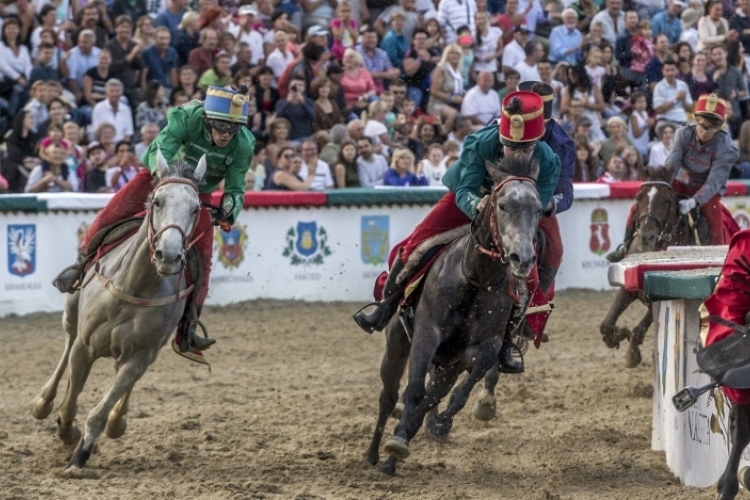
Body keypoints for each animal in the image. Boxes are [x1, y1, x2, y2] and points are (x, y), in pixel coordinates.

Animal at [32, 150, 207, 474]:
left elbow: (102, 408)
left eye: (195, 208)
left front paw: (80, 455)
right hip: (72, 313)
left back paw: (117, 421)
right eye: (157, 201)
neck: (134, 286)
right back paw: (44, 402)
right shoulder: (85, 347)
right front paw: (66, 429)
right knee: (67, 343)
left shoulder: (138, 356)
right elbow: (71, 398)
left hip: (149, 350)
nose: (169, 255)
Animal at [362, 154, 540, 474]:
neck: (475, 280)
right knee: (389, 396)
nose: (523, 259)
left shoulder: (485, 349)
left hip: (448, 365)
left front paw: (435, 425)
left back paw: (396, 451)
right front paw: (396, 442)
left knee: (431, 397)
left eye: (539, 208)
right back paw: (374, 453)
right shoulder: (426, 333)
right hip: (397, 342)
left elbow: (457, 394)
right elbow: (414, 391)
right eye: (502, 205)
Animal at [600, 166, 700, 366]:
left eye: (667, 200)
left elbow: (638, 331)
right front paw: (617, 335)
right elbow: (606, 325)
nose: (647, 235)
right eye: (638, 197)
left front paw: (632, 354)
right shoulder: (627, 288)